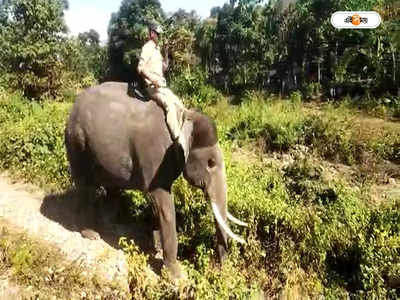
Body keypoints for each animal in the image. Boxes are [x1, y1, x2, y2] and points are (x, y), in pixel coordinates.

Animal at [65, 82, 247, 278]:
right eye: (211, 163)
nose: (222, 269)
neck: (183, 117)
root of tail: (73, 107)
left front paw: (157, 249)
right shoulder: (154, 158)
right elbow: (163, 203)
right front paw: (176, 276)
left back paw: (111, 228)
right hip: (77, 143)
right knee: (85, 185)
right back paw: (91, 234)